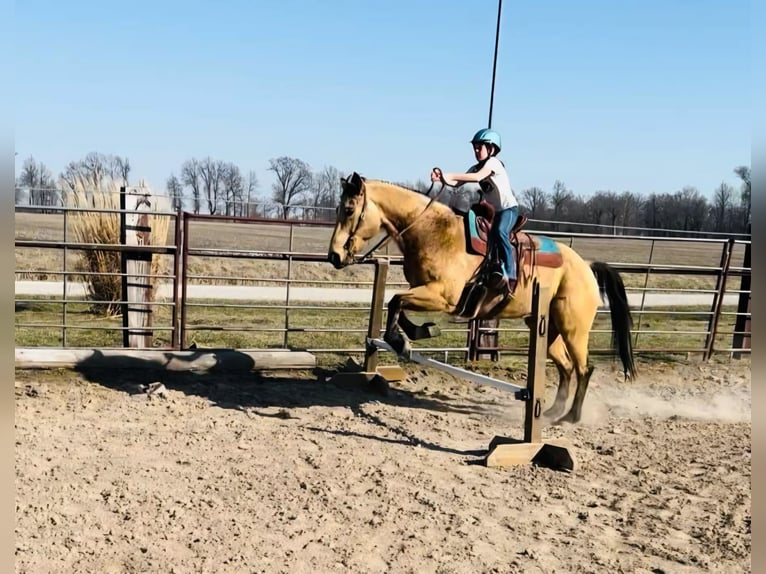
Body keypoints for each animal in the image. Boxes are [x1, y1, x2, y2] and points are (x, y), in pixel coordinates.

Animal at [328, 173, 640, 426]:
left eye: (349, 209)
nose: (334, 256)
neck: (432, 232)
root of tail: (586, 267)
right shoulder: (423, 290)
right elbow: (399, 304)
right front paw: (418, 332)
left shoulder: (443, 296)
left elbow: (395, 301)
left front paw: (402, 340)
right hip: (546, 329)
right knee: (565, 367)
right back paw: (553, 411)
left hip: (573, 329)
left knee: (584, 368)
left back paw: (571, 417)